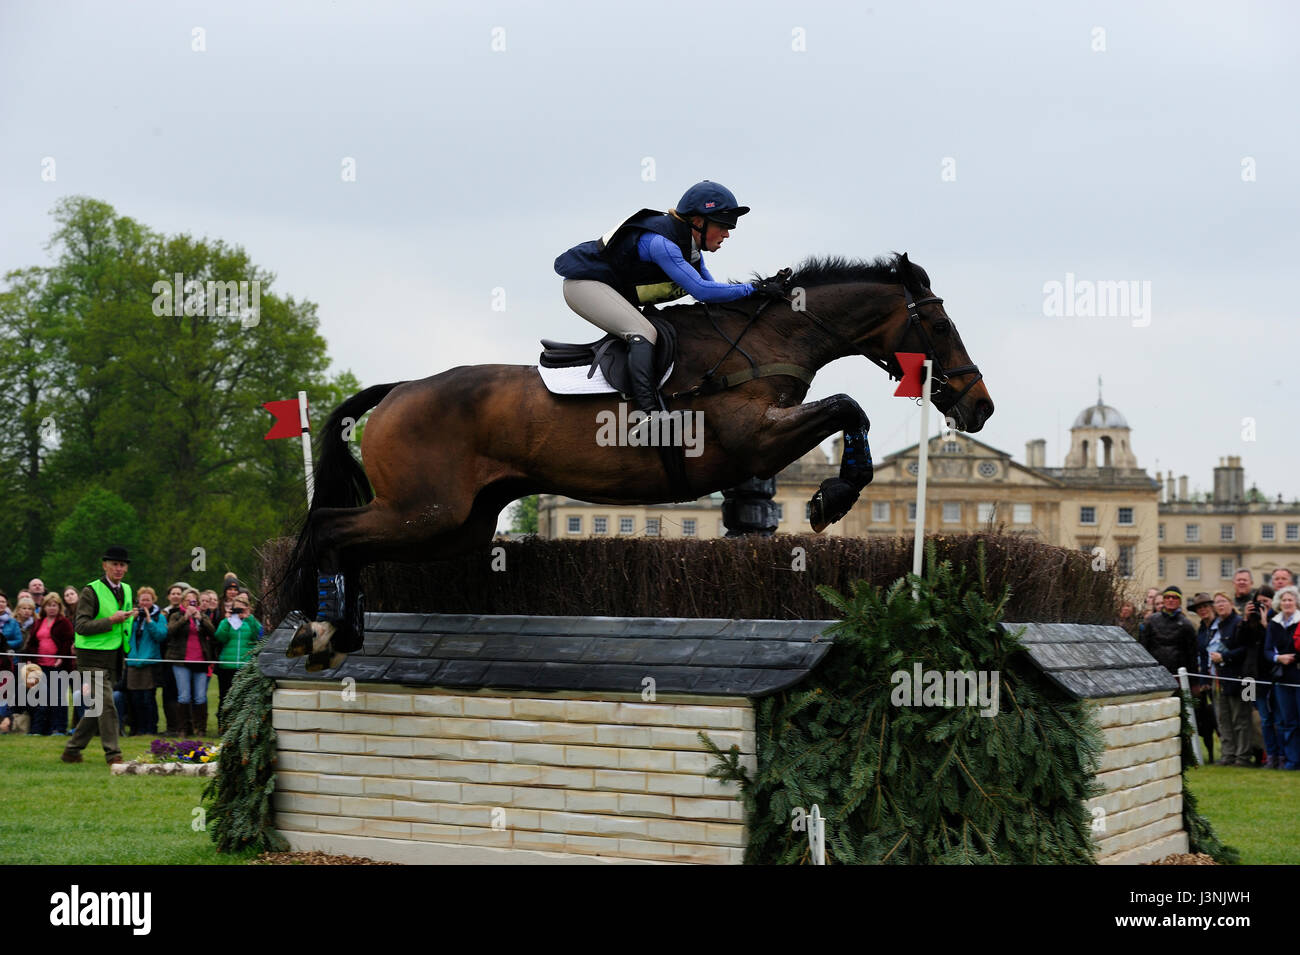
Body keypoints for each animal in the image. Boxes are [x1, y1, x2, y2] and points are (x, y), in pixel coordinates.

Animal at [284, 254, 993, 670]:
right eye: (939, 326)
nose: (980, 407)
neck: (769, 339)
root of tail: (397, 390)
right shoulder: (751, 441)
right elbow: (849, 408)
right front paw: (832, 498)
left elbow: (846, 413)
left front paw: (831, 495)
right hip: (426, 509)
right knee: (329, 529)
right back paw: (318, 628)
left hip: (455, 525)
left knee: (354, 542)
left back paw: (340, 632)